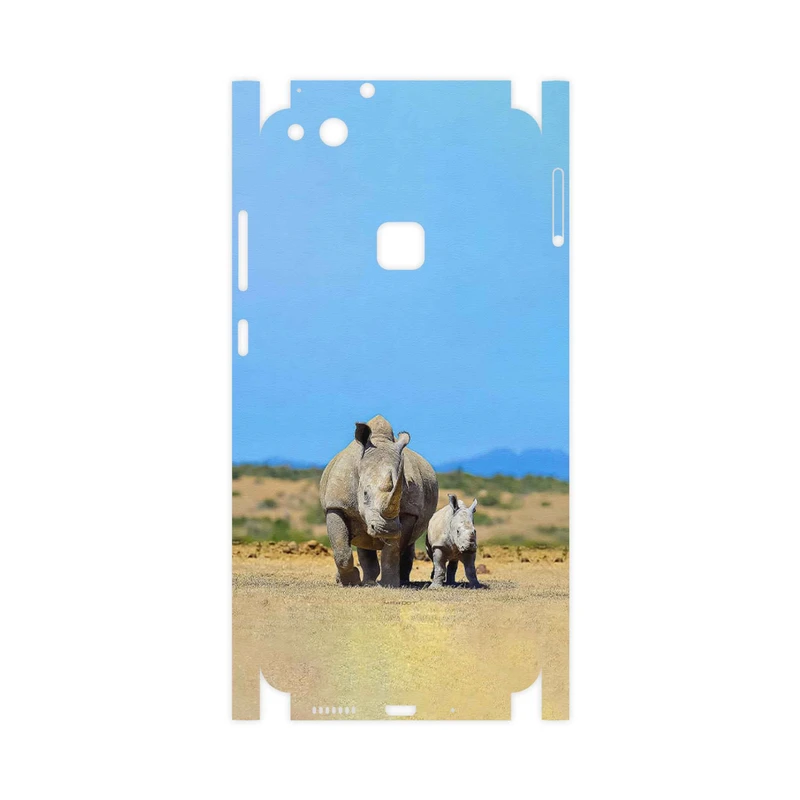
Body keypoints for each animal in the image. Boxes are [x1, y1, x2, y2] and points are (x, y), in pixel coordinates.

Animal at [319, 415, 438, 587]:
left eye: (400, 494)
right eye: (365, 494)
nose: (387, 529)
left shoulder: (409, 512)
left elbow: (393, 550)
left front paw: (390, 584)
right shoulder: (336, 505)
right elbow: (341, 549)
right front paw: (350, 582)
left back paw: (400, 581)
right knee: (363, 541)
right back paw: (366, 582)